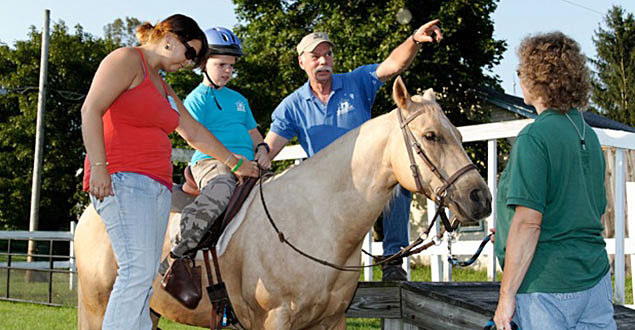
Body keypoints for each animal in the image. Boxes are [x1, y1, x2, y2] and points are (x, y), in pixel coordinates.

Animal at [73, 76, 492, 328]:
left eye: (459, 134)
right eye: (431, 135)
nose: (480, 197)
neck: (317, 224)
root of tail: (92, 212)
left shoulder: (331, 320)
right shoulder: (276, 320)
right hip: (97, 305)